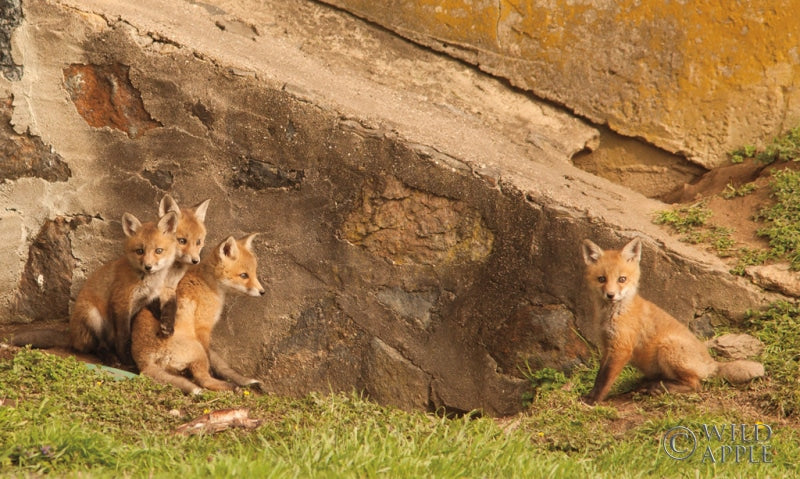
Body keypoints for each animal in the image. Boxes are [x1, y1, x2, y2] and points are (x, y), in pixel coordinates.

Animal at [131, 234, 265, 395]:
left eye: (254, 273)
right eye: (244, 275)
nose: (263, 292)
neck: (207, 285)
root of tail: (143, 361)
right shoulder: (203, 328)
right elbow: (209, 366)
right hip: (197, 349)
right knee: (204, 380)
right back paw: (231, 387)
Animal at [580, 237, 764, 404]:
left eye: (622, 279)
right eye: (601, 279)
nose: (610, 295)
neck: (613, 314)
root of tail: (710, 363)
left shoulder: (621, 348)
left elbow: (605, 379)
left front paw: (593, 401)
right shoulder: (607, 346)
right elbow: (599, 376)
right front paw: (590, 396)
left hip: (668, 347)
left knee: (696, 385)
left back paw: (660, 388)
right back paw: (648, 385)